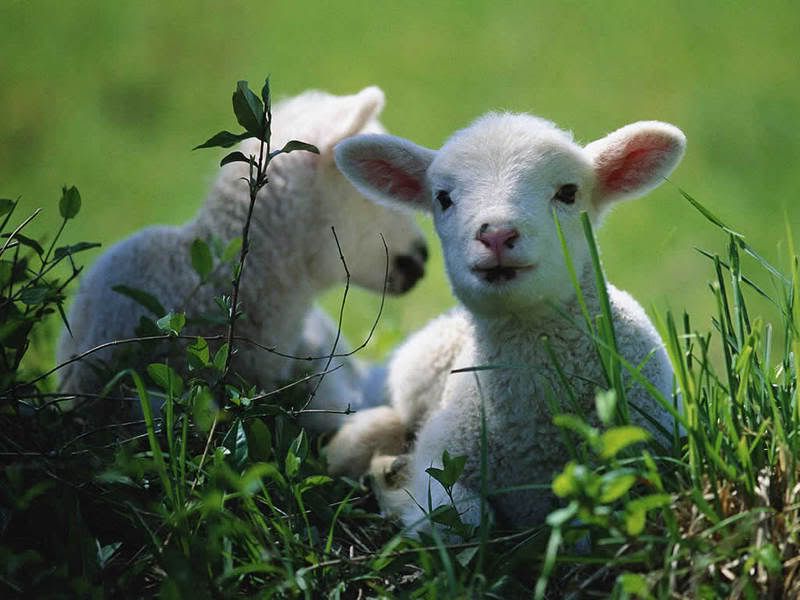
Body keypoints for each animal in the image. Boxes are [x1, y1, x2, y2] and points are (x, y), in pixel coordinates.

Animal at [328, 111, 684, 528]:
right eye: (443, 198)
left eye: (568, 192)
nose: (497, 234)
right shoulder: (440, 457)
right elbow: (462, 518)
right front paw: (396, 488)